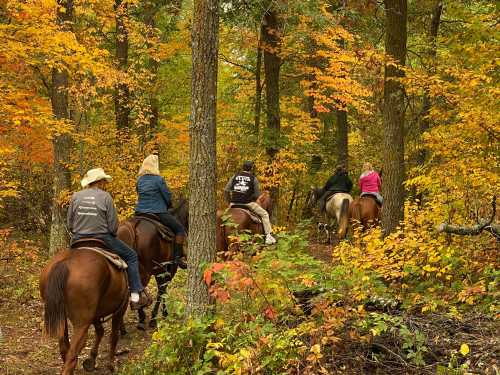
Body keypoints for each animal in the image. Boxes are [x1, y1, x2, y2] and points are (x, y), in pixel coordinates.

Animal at [40, 242, 129, 374]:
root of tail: (66, 262)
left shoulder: (95, 315)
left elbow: (100, 331)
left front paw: (91, 360)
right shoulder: (120, 310)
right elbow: (113, 336)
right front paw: (111, 365)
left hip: (63, 319)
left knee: (65, 350)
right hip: (81, 324)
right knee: (72, 355)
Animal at [116, 197, 188, 332]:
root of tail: (133, 226)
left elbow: (162, 289)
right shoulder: (168, 269)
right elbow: (162, 290)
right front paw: (157, 317)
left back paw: (123, 325)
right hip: (146, 271)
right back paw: (141, 318)